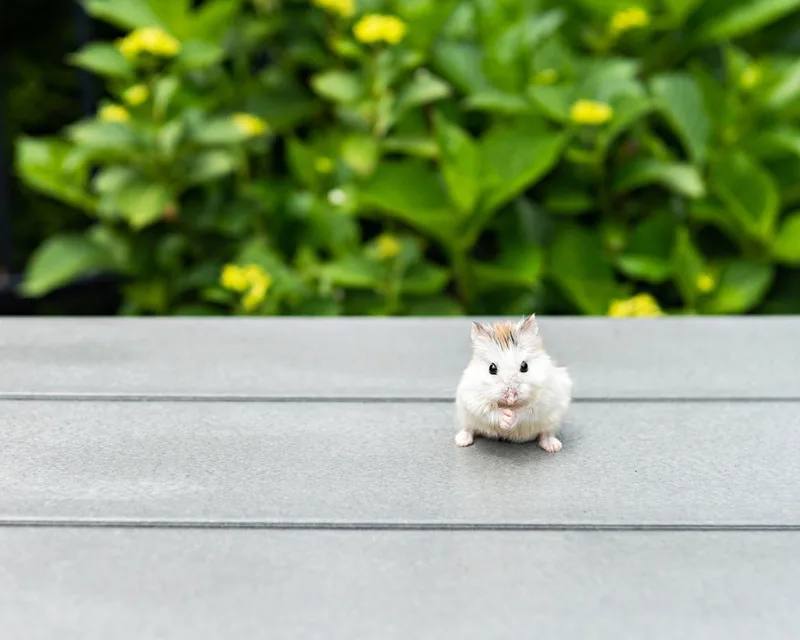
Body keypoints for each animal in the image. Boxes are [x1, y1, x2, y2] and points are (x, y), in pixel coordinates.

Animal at [454, 314, 572, 451]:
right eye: (492, 368)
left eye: (524, 366)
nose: (510, 398)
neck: (511, 406)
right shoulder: (473, 398)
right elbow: (489, 411)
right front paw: (507, 419)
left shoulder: (544, 400)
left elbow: (526, 412)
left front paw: (512, 417)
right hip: (465, 416)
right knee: (469, 428)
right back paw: (462, 441)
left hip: (553, 419)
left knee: (546, 432)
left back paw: (553, 447)